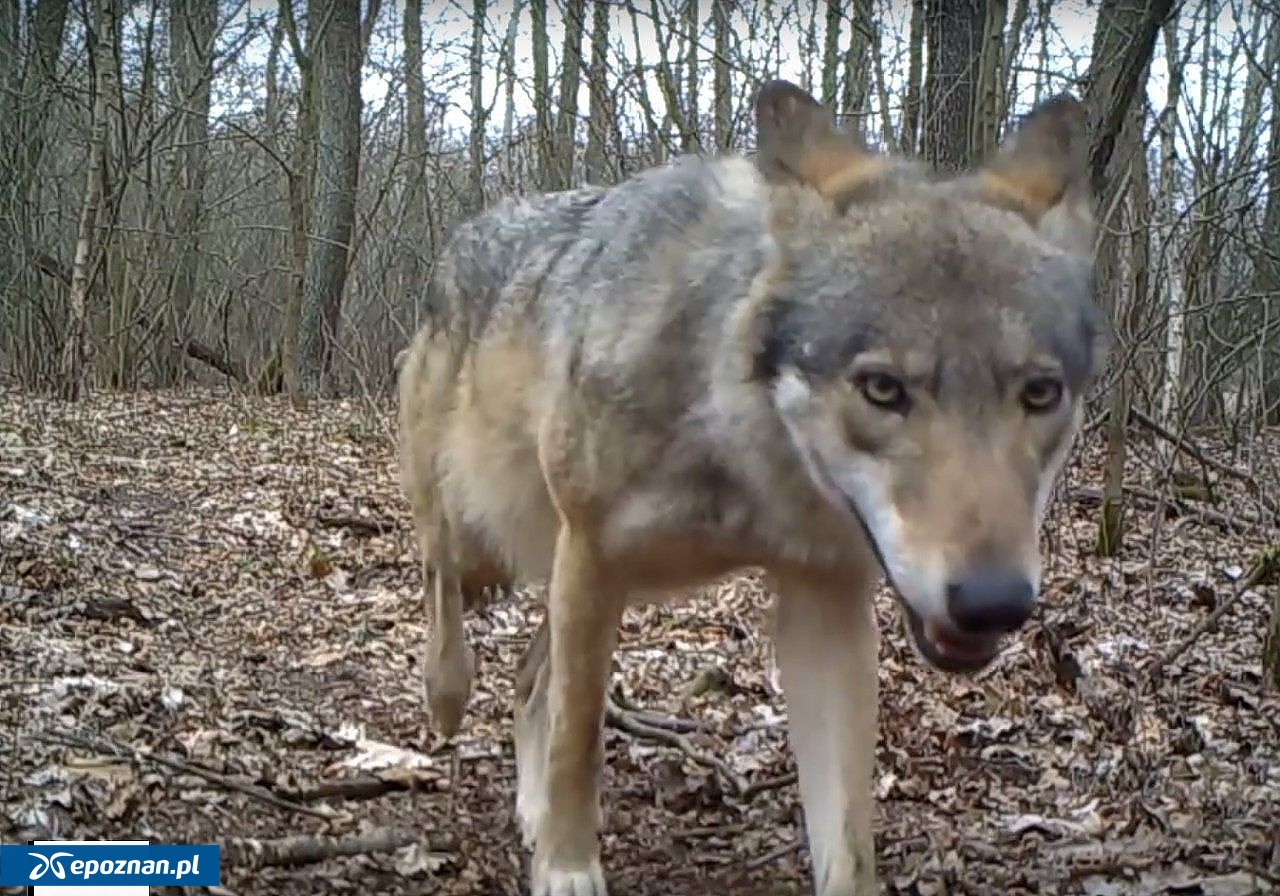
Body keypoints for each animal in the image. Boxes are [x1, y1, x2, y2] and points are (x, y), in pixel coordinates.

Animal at [396, 78, 1100, 896]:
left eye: (1040, 394)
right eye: (884, 389)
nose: (994, 602)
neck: (745, 457)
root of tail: (466, 234)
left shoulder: (822, 597)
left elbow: (847, 830)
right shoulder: (593, 551)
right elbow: (580, 740)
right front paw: (568, 869)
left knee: (528, 679)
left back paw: (530, 810)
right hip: (489, 534)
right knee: (445, 587)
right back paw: (447, 700)